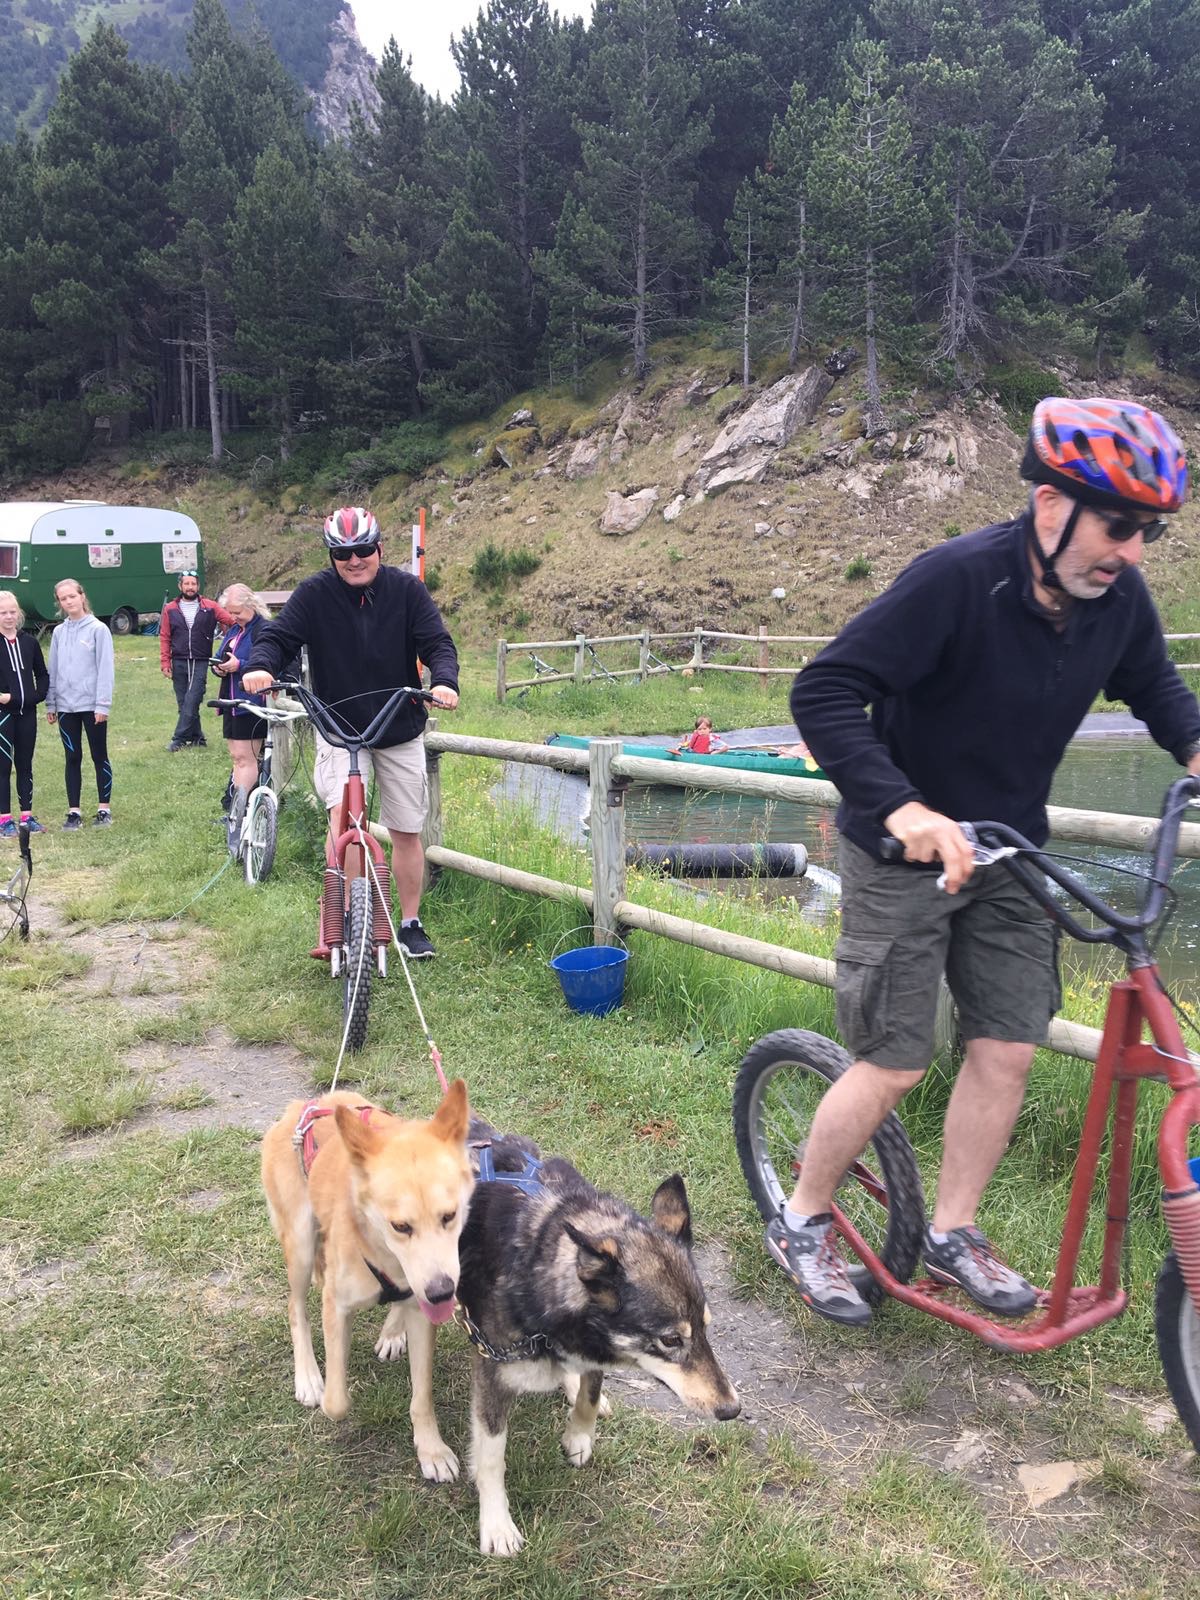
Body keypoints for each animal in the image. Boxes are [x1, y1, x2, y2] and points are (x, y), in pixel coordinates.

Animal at [260, 1080, 473, 1482]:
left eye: (449, 1216)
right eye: (400, 1226)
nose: (443, 1293)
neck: (385, 1254)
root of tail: (305, 1105)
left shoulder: (422, 1308)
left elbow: (422, 1396)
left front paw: (431, 1450)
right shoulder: (337, 1304)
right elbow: (336, 1401)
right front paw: (329, 1389)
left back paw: (392, 1331)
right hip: (300, 1244)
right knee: (296, 1307)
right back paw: (307, 1375)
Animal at [457, 1120, 741, 1555]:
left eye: (706, 1326)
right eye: (670, 1340)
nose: (732, 1410)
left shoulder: (593, 1350)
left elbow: (590, 1395)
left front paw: (579, 1433)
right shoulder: (491, 1368)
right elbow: (491, 1457)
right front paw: (497, 1524)